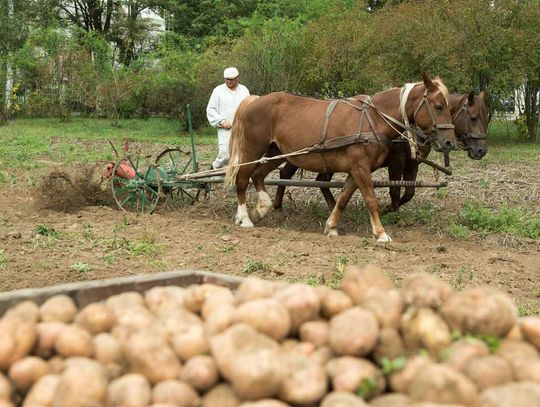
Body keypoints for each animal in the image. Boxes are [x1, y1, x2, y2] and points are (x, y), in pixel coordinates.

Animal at [224, 75, 456, 242]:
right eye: (438, 106)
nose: (449, 143)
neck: (373, 119)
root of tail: (253, 100)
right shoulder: (361, 168)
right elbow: (371, 199)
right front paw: (381, 234)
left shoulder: (356, 170)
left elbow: (344, 197)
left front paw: (332, 227)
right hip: (253, 150)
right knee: (242, 179)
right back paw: (244, 218)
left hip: (275, 153)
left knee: (258, 175)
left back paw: (262, 208)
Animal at [274, 92, 490, 214]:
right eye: (473, 117)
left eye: (486, 118)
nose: (481, 150)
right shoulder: (396, 162)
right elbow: (395, 190)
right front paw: (390, 210)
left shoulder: (412, 164)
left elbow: (409, 192)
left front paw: (394, 209)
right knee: (290, 174)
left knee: (312, 178)